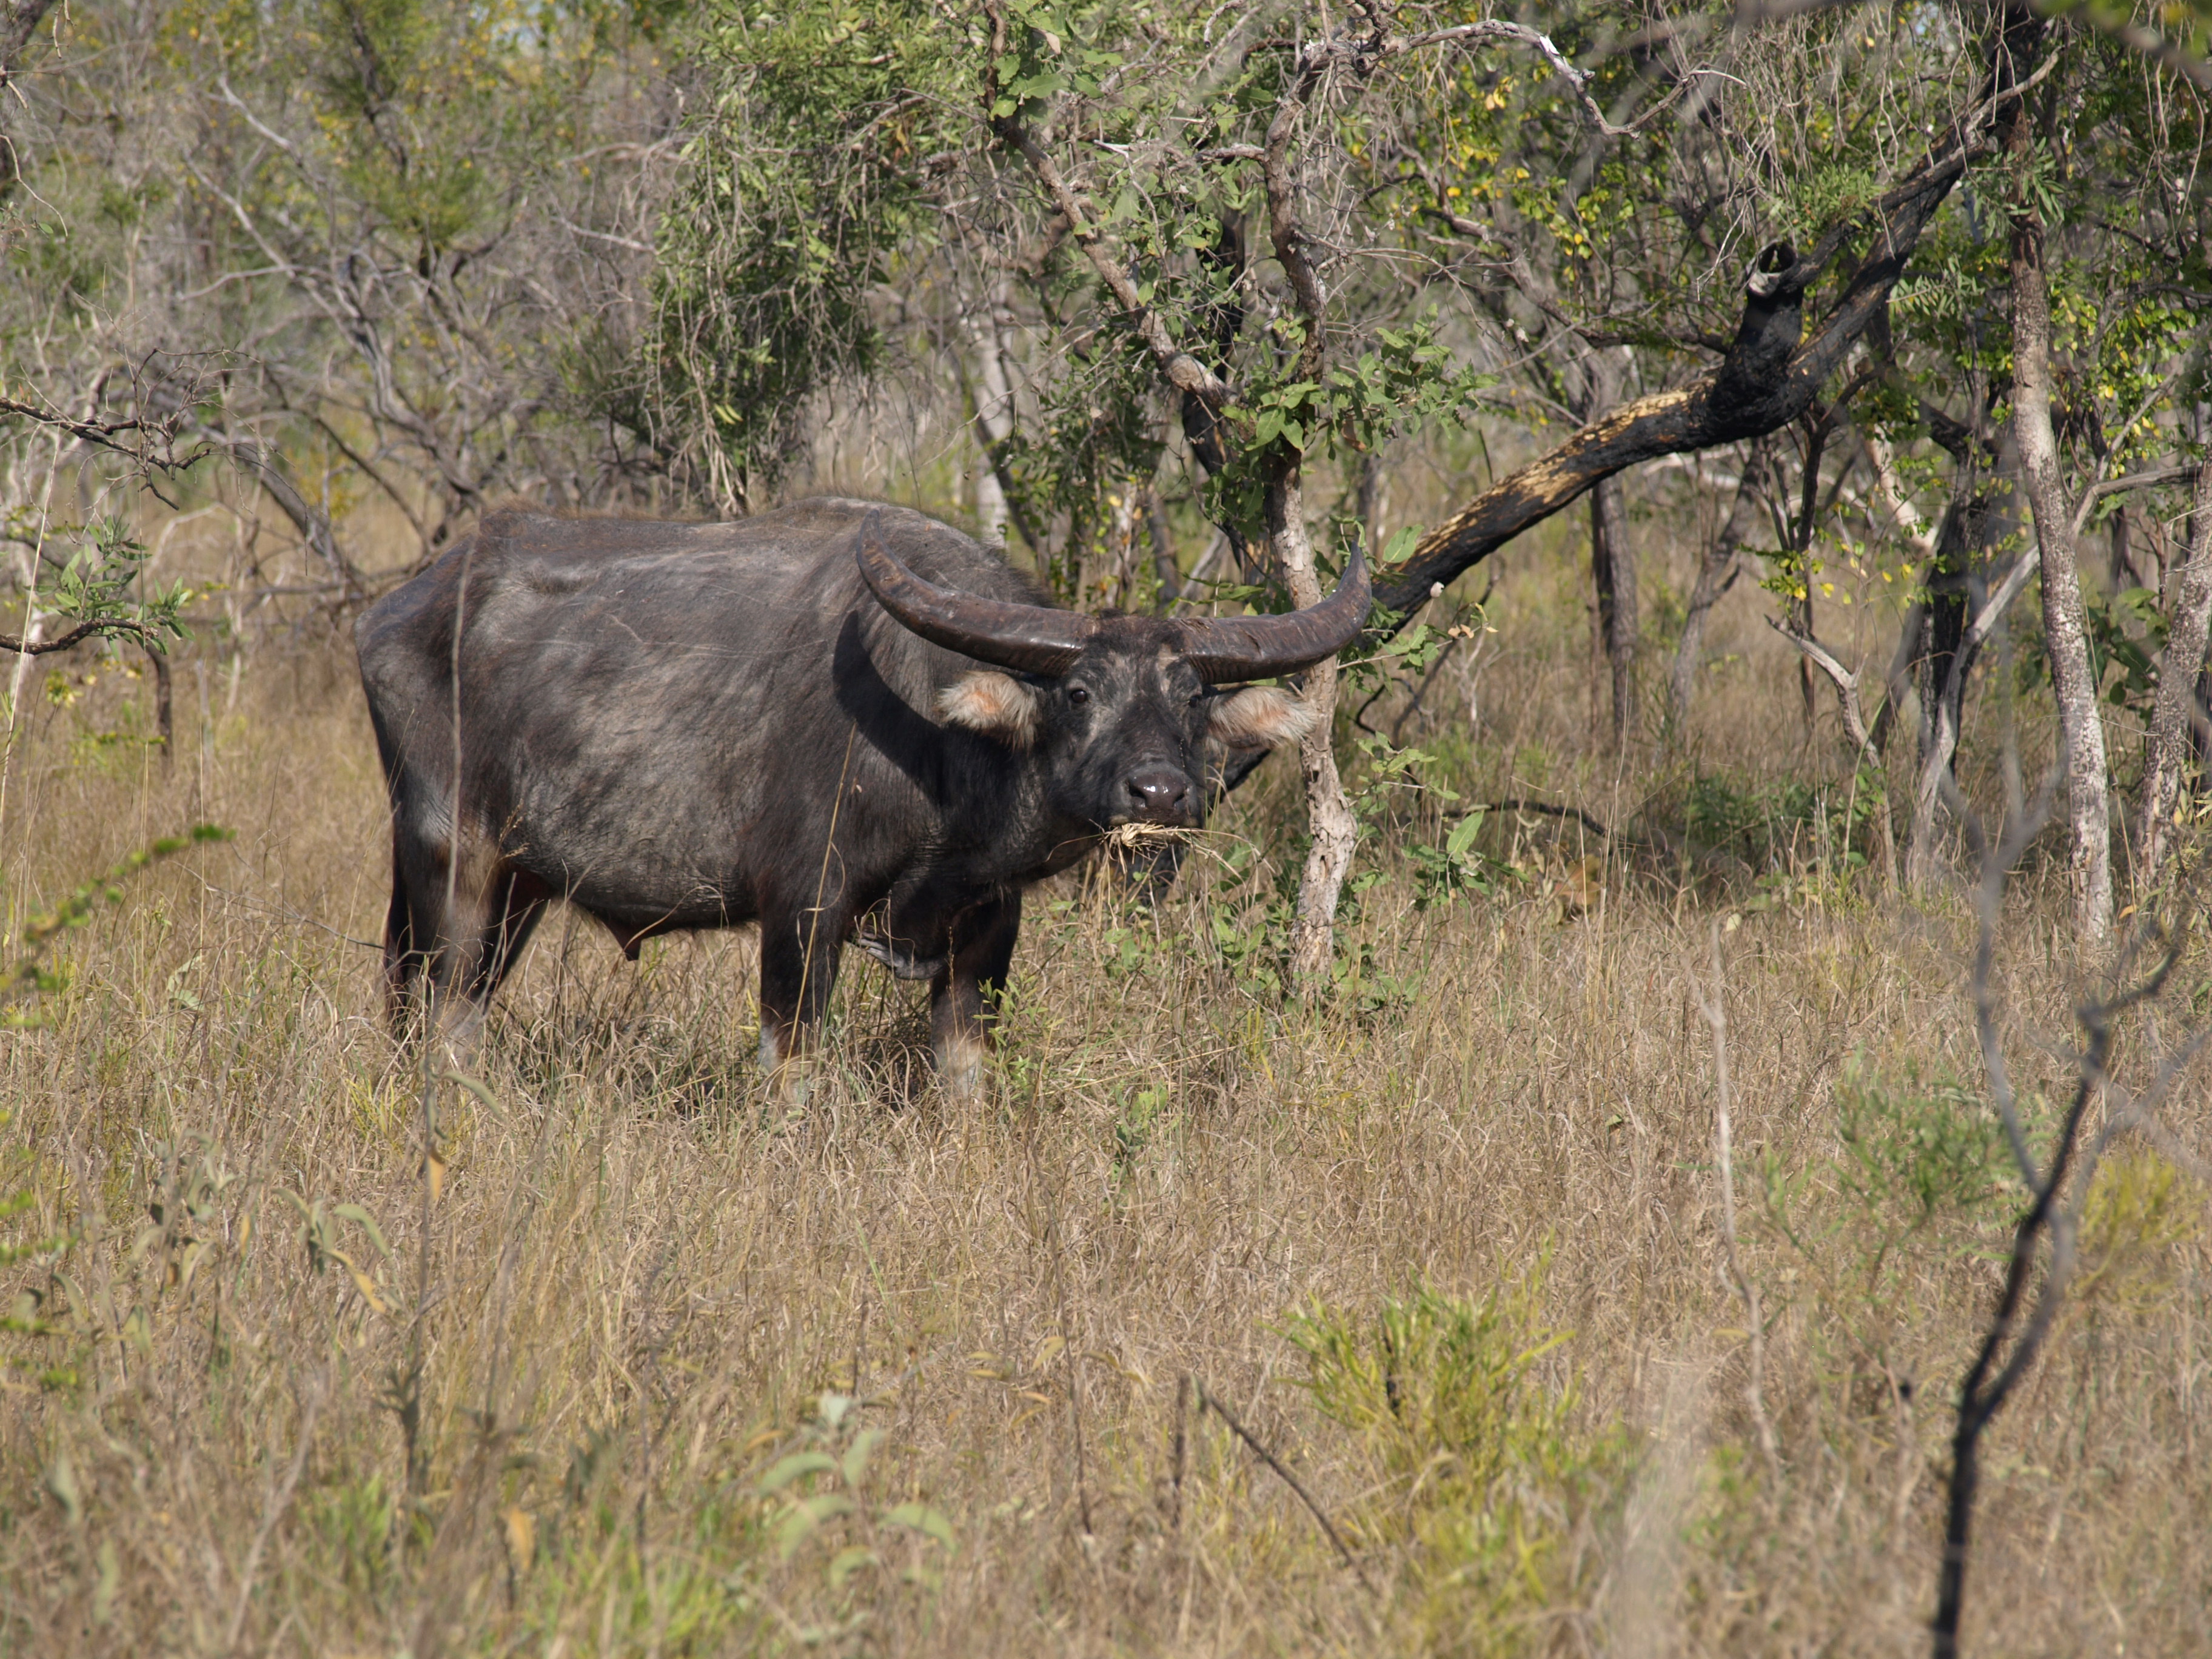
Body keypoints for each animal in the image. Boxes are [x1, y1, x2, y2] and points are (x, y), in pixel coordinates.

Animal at [356, 500, 1362, 1097]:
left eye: (1191, 697)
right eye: (1080, 692)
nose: (1161, 790)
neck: (945, 760)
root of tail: (402, 609)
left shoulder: (983, 936)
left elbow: (965, 1079)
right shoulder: (805, 911)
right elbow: (792, 1069)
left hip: (518, 890)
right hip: (449, 863)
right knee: (426, 1009)